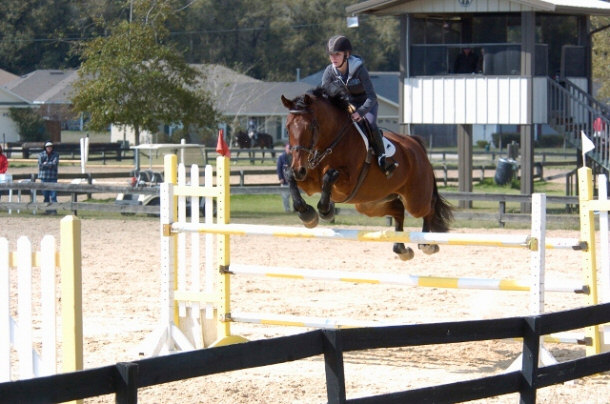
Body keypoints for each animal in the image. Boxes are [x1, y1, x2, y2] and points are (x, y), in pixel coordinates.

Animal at [280, 87, 452, 260]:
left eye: (310, 127)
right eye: (287, 128)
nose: (299, 169)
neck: (331, 143)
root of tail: (416, 145)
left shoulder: (347, 184)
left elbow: (329, 175)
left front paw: (325, 212)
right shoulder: (309, 181)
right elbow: (289, 176)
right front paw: (307, 215)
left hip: (415, 200)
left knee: (428, 208)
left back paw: (427, 244)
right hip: (370, 203)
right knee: (398, 210)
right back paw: (401, 249)